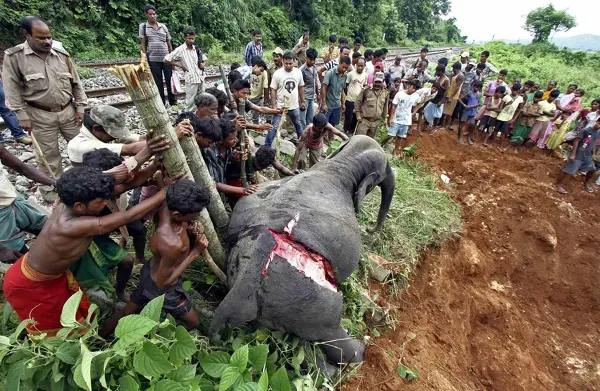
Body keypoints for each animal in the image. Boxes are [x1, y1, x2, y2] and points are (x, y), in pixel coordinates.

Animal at [209, 136, 396, 366]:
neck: (339, 164)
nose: (369, 229)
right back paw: (359, 352)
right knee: (330, 332)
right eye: (381, 175)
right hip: (315, 306)